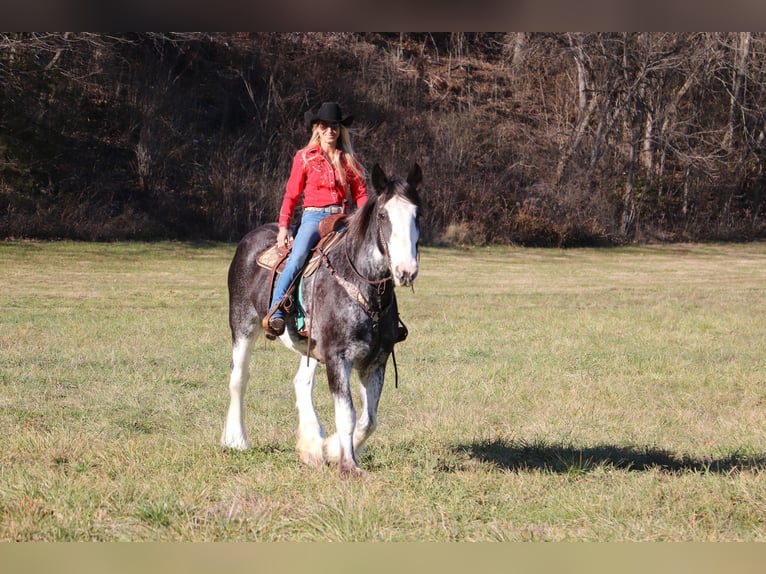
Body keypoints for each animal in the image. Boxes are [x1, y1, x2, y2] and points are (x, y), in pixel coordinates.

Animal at [222, 162, 426, 476]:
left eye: (418, 214)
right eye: (383, 215)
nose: (406, 271)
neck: (360, 284)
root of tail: (250, 239)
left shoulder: (375, 361)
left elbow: (369, 419)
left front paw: (330, 449)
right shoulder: (337, 357)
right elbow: (347, 414)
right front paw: (348, 466)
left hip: (310, 348)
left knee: (301, 382)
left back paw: (311, 444)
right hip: (243, 324)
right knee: (239, 378)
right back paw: (237, 439)